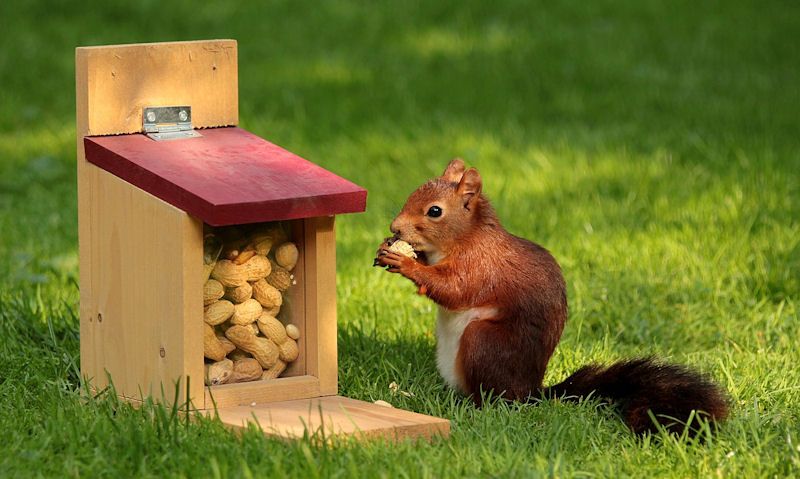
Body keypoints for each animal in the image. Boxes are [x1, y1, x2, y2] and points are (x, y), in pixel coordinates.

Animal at [374, 158, 724, 436]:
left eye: (435, 211)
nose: (395, 227)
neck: (466, 238)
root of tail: (532, 392)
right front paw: (394, 250)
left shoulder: (481, 267)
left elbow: (453, 290)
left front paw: (406, 263)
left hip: (483, 342)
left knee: (496, 398)